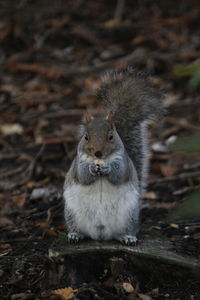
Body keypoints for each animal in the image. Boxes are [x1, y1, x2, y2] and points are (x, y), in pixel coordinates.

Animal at [63, 68, 164, 246]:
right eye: (86, 137)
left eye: (110, 136)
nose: (98, 153)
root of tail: (100, 234)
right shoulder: (78, 164)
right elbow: (83, 176)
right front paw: (92, 168)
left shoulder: (123, 162)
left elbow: (118, 175)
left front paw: (107, 168)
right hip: (72, 214)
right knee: (79, 229)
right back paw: (75, 235)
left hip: (128, 216)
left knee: (122, 232)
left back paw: (128, 237)